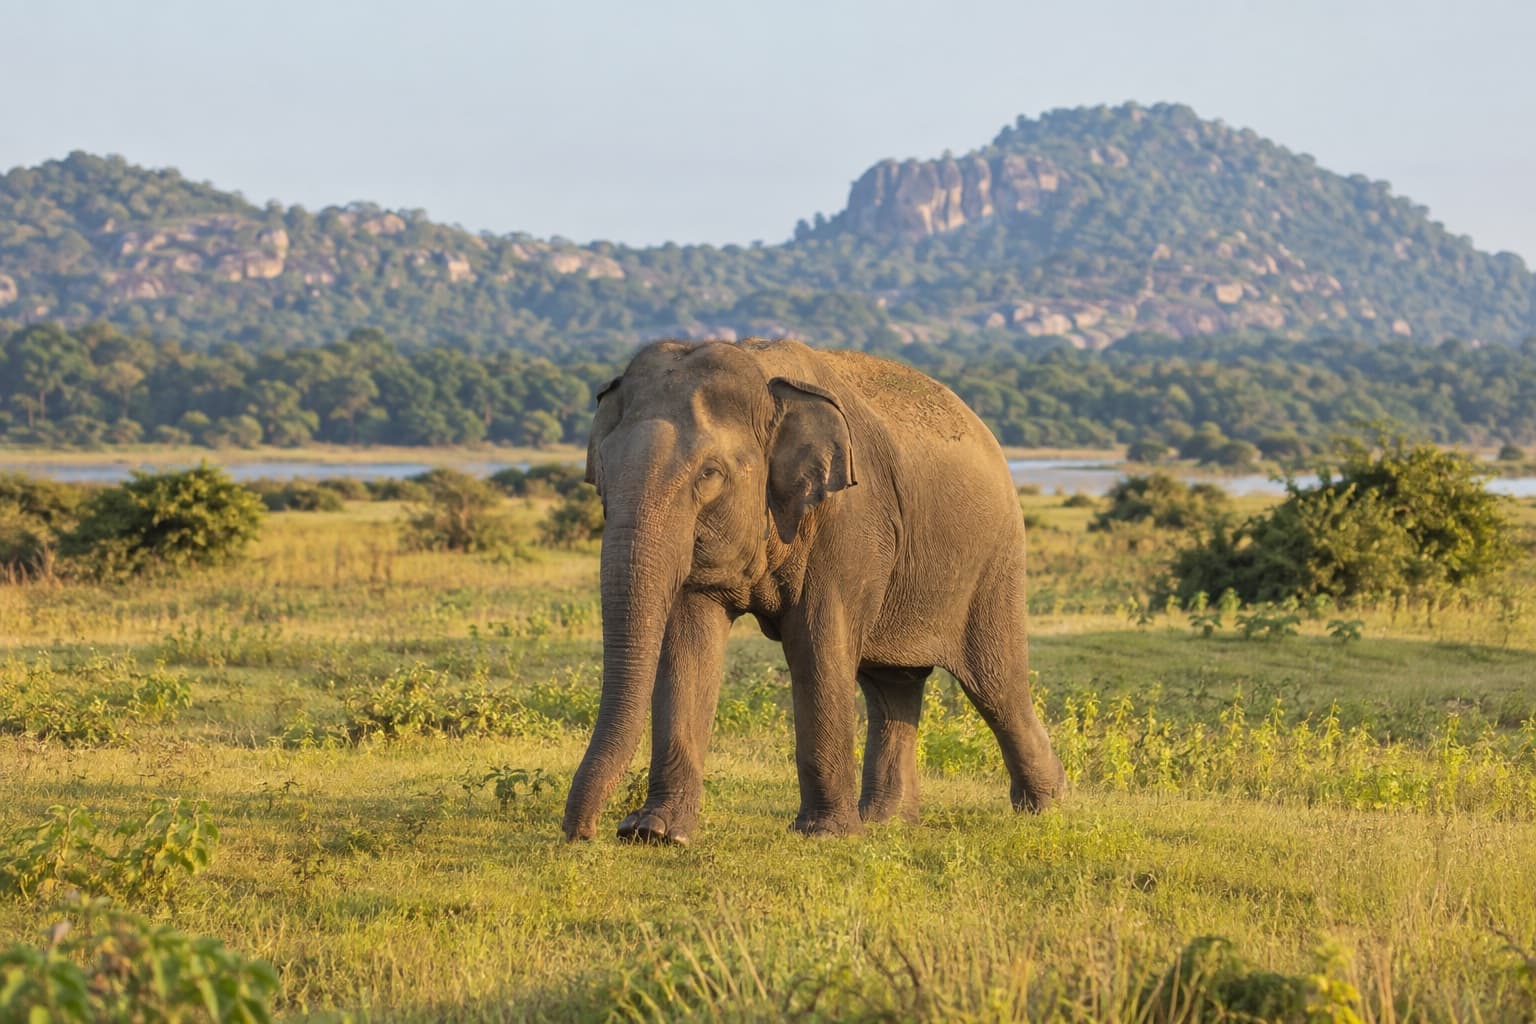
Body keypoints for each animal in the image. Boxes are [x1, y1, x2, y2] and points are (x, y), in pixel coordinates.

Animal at [562, 337, 1064, 843]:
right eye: (602, 478)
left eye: (709, 473)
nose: (586, 833)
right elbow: (688, 641)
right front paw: (657, 833)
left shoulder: (849, 521)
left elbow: (817, 642)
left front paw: (825, 835)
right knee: (892, 686)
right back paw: (885, 821)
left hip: (995, 559)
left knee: (996, 684)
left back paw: (1046, 809)